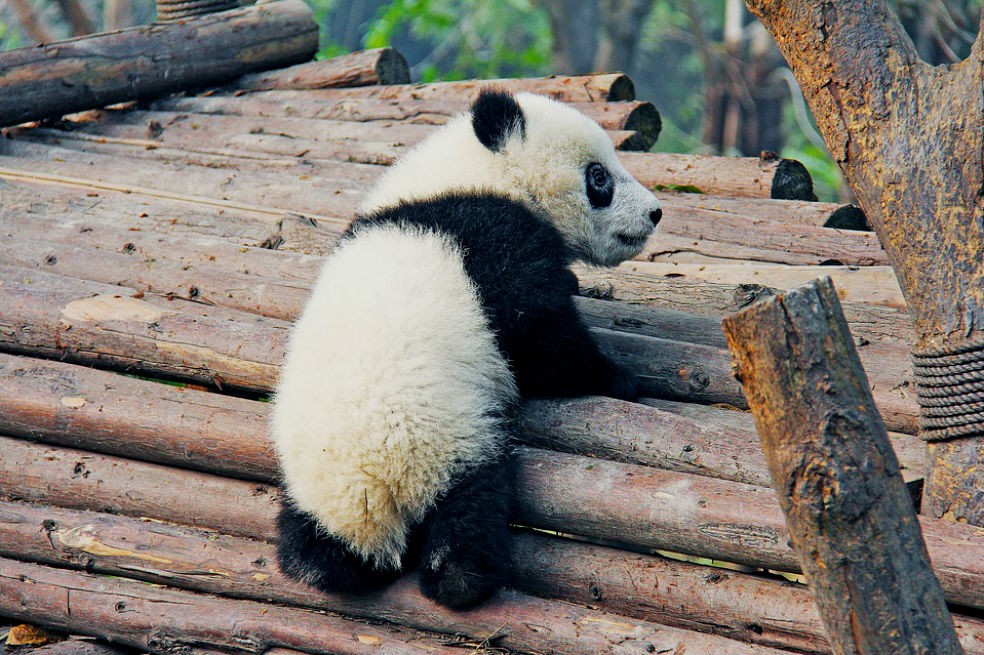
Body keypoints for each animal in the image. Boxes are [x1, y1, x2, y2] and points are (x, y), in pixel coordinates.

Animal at [272, 89, 662, 609]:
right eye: (598, 177)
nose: (655, 213)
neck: (471, 175)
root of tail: (370, 492)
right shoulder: (493, 241)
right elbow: (540, 339)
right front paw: (619, 377)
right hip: (449, 439)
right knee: (472, 506)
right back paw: (462, 578)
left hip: (312, 487)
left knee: (312, 544)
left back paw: (318, 562)